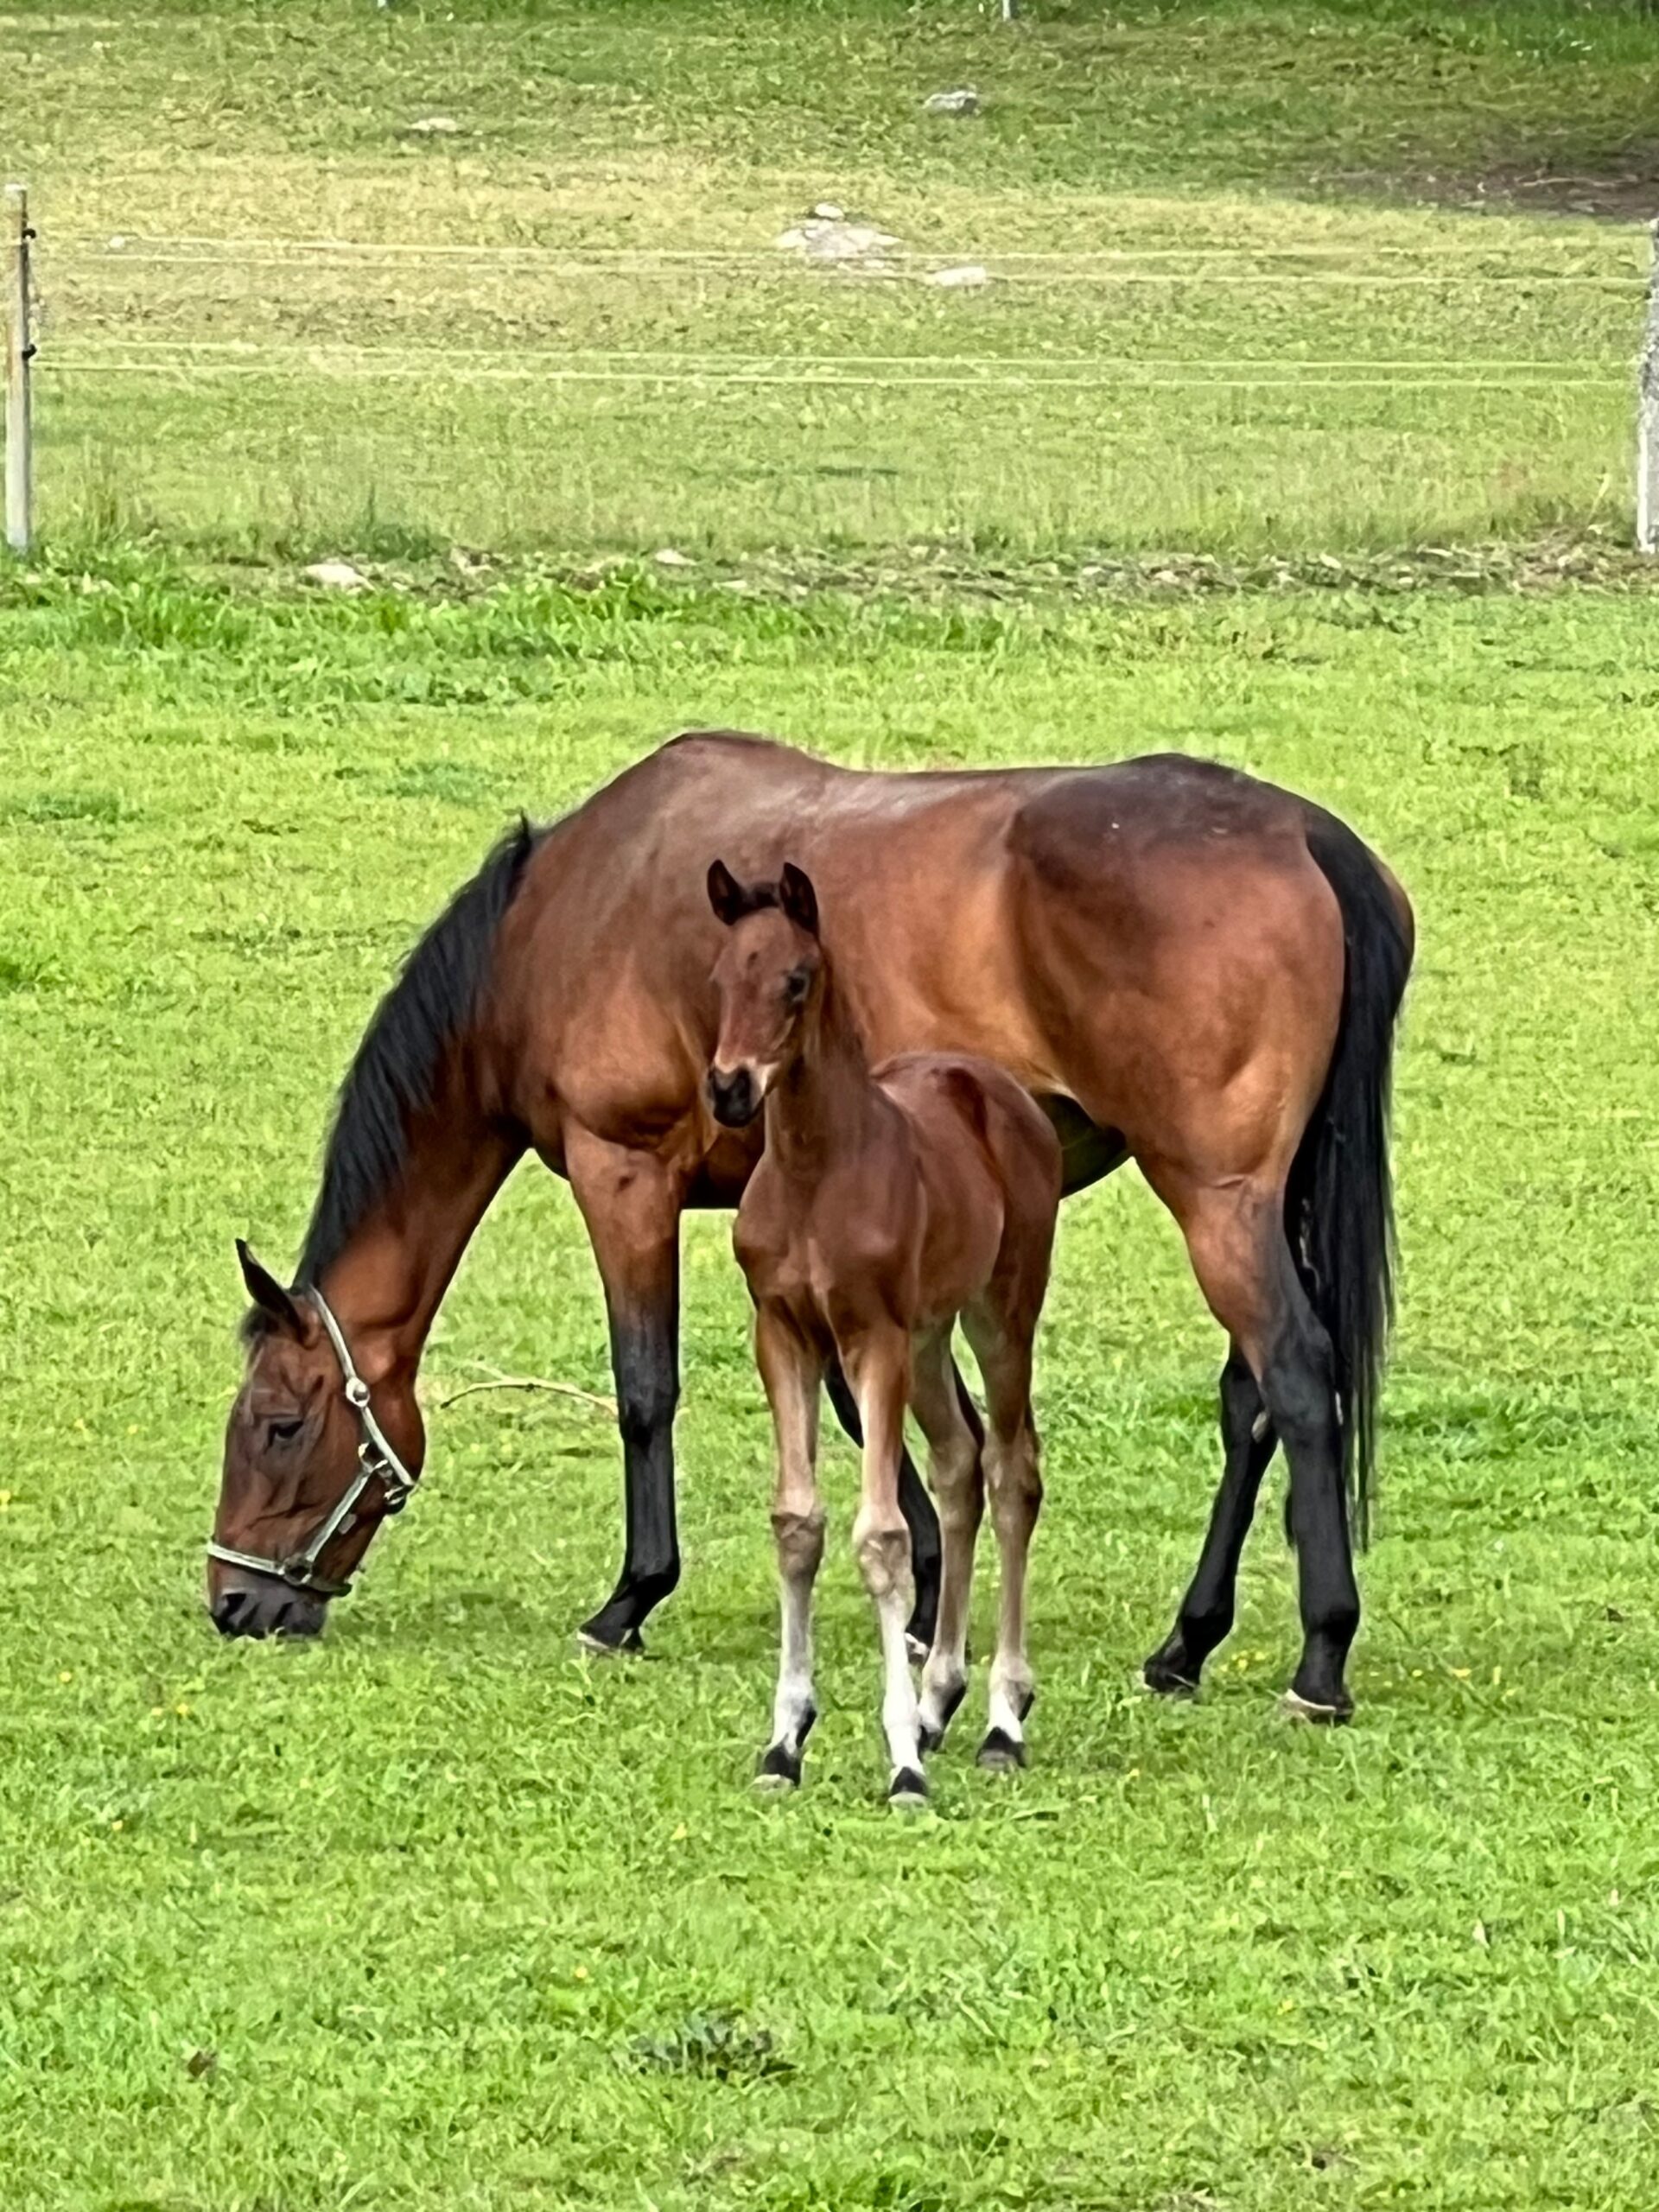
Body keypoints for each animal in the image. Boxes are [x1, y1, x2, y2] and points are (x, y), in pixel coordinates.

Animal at [708, 854, 1057, 1804]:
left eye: (796, 979)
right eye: (719, 978)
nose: (729, 1087)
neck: (815, 1171)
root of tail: (1000, 1090)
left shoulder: (873, 1341)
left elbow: (884, 1537)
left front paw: (901, 1759)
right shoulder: (783, 1335)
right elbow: (798, 1525)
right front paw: (785, 1741)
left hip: (999, 1313)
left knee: (1011, 1472)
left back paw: (1002, 1720)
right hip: (932, 1337)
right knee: (960, 1465)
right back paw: (942, 1699)